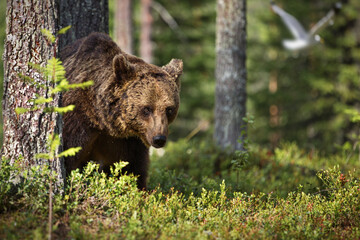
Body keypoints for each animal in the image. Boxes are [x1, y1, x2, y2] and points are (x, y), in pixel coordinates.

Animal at [61, 32, 183, 189]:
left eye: (169, 109)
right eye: (147, 108)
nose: (159, 139)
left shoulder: (127, 142)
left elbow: (131, 170)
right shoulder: (76, 121)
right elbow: (69, 159)